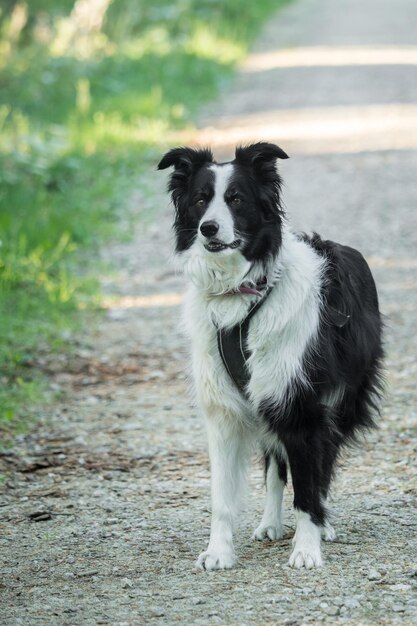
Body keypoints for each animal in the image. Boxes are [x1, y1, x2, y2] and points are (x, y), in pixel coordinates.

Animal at [158, 143, 382, 572]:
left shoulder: (301, 404)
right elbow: (223, 497)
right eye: (200, 200)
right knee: (277, 464)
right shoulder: (226, 411)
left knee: (322, 463)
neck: (241, 294)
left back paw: (321, 525)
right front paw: (219, 551)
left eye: (236, 199)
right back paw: (270, 523)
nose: (208, 229)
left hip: (338, 401)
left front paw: (308, 549)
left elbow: (308, 489)